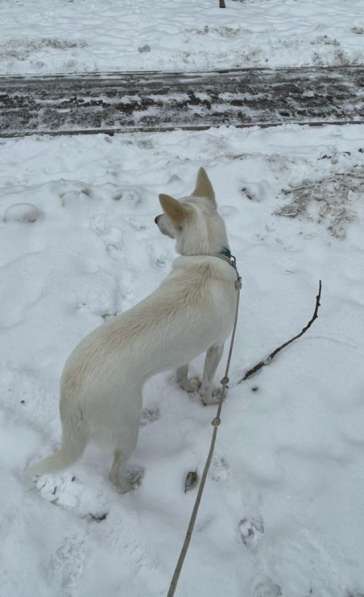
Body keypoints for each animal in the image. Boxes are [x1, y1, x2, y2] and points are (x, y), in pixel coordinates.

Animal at [28, 169, 239, 494]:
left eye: (167, 218)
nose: (155, 218)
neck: (205, 254)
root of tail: (72, 392)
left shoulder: (186, 351)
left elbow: (182, 372)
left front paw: (185, 386)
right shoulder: (217, 345)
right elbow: (207, 382)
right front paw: (209, 398)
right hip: (128, 427)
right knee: (114, 473)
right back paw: (129, 485)